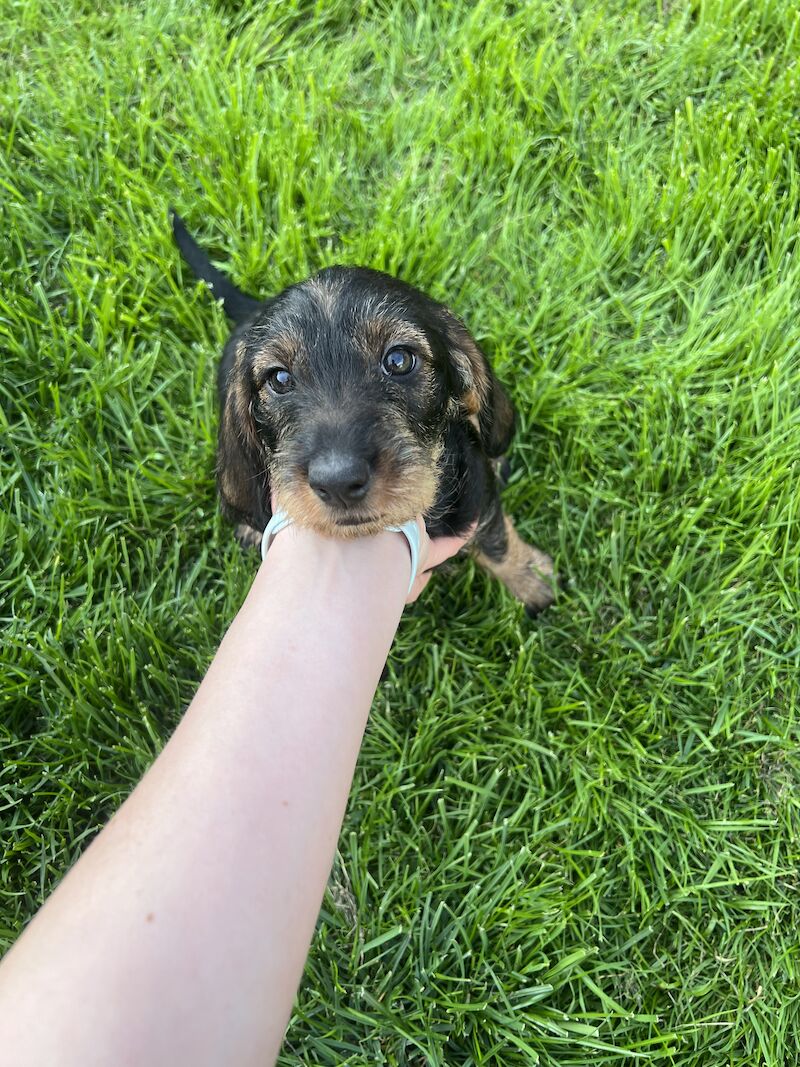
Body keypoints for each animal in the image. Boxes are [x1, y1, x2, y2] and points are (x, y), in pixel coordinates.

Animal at [170, 212, 558, 614]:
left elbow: (498, 542)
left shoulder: (479, 496)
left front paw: (530, 579)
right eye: (279, 378)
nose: (338, 481)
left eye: (399, 360)